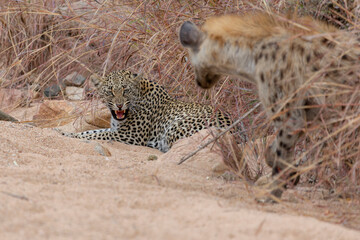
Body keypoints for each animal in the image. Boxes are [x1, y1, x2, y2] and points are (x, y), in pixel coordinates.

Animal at [58, 69, 232, 152]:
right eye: (110, 92)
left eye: (125, 90)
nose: (119, 105)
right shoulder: (117, 129)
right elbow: (92, 132)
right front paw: (63, 132)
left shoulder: (130, 135)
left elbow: (95, 135)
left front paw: (69, 135)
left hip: (176, 127)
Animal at [180, 12, 360, 202]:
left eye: (190, 62)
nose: (199, 83)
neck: (251, 55)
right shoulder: (309, 110)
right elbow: (273, 149)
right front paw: (291, 174)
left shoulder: (287, 109)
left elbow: (281, 152)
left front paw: (272, 195)